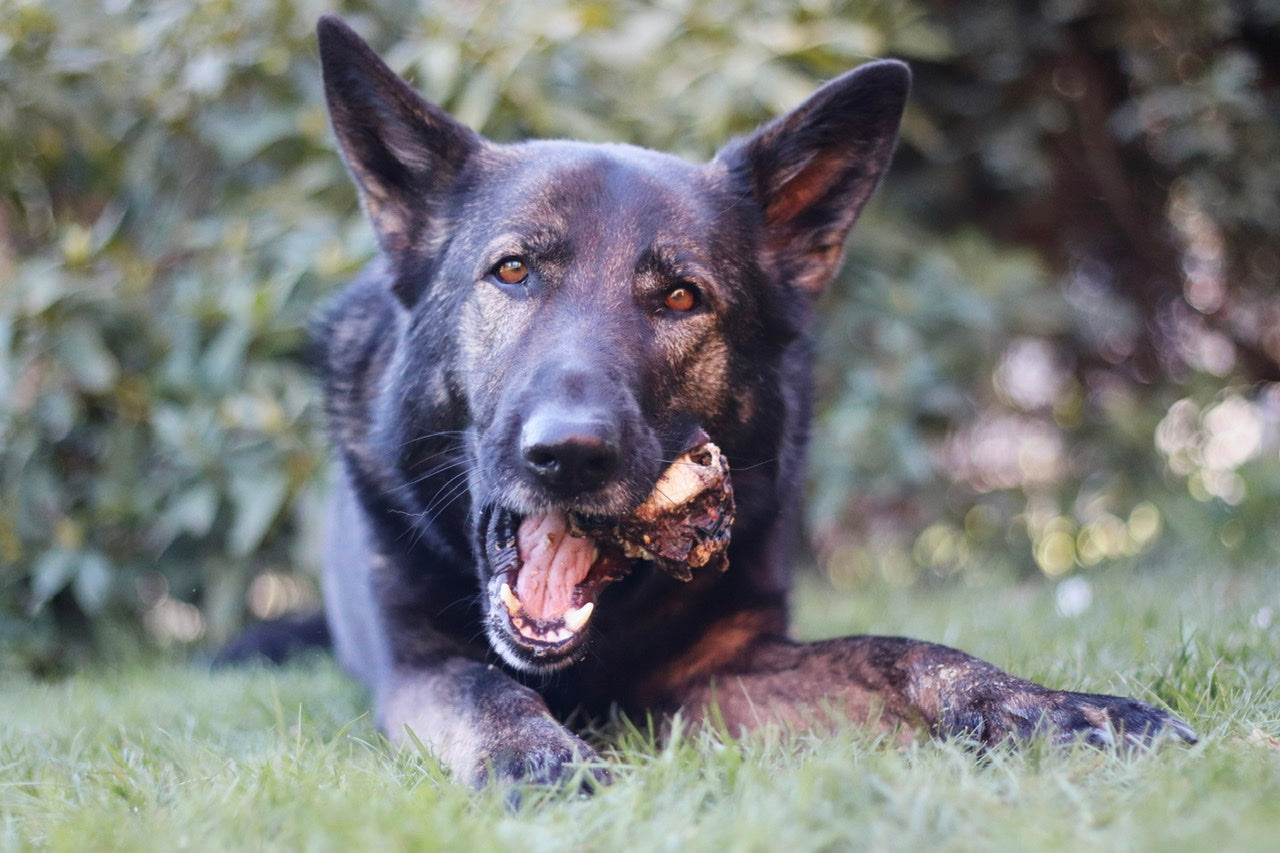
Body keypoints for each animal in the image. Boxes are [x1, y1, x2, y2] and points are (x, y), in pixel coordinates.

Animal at [296, 13, 1187, 783]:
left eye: (681, 297)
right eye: (512, 270)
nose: (570, 454)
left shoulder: (727, 668)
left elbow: (903, 650)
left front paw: (1046, 705)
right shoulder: (417, 667)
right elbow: (486, 687)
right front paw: (537, 758)